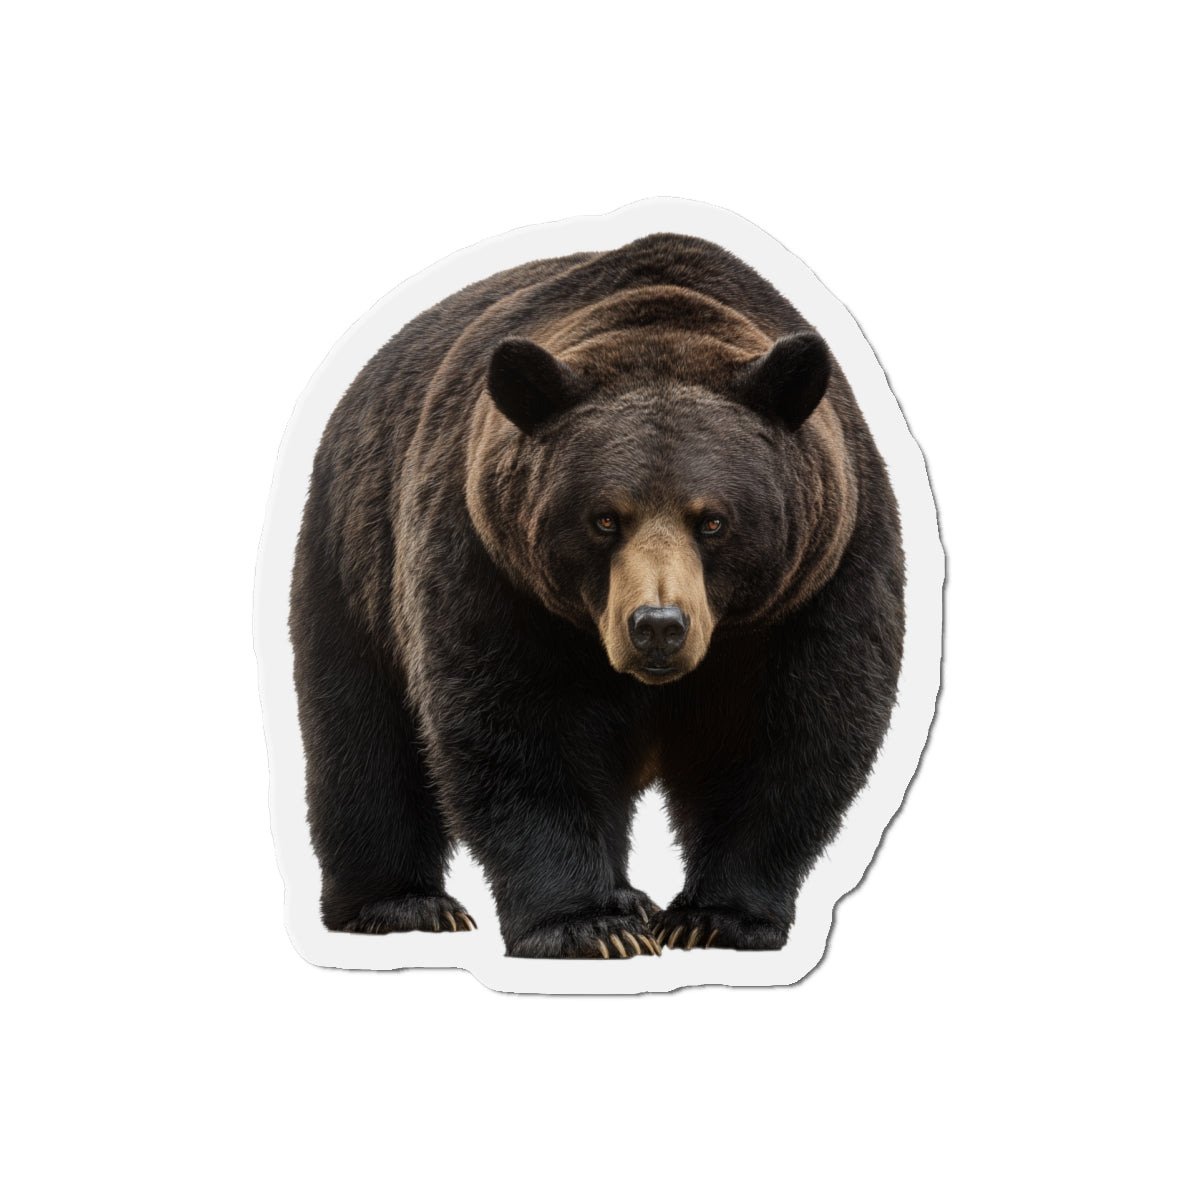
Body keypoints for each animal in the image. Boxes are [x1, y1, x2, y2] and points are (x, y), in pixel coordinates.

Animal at [290, 232, 904, 958]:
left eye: (713, 521)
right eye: (605, 518)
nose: (658, 626)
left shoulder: (820, 578)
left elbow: (789, 732)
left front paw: (716, 916)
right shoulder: (493, 570)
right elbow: (518, 727)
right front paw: (587, 924)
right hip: (354, 552)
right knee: (362, 731)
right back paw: (404, 904)